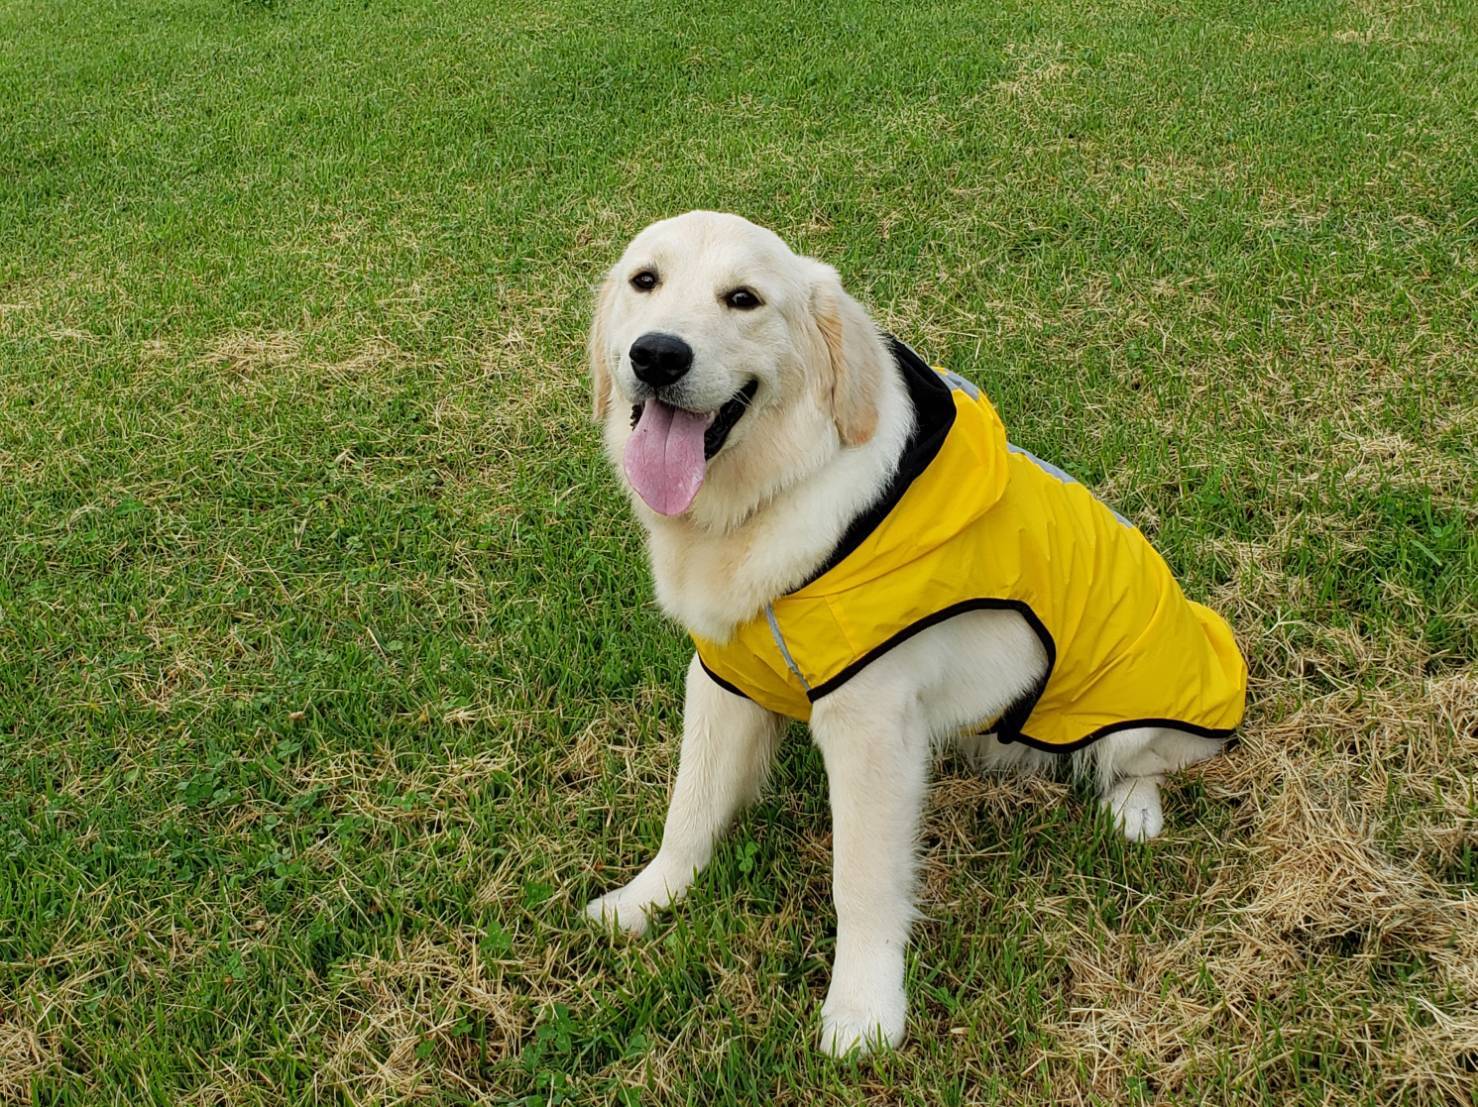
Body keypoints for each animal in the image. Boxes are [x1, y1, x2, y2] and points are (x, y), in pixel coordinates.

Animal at [579, 209, 1247, 1052]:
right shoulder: (722, 679)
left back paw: (1133, 810)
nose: (657, 354)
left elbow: (861, 881)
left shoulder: (867, 727)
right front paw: (647, 900)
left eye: (744, 298)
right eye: (646, 281)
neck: (776, 493)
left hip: (1136, 714)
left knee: (1143, 762)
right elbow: (689, 811)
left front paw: (864, 1011)